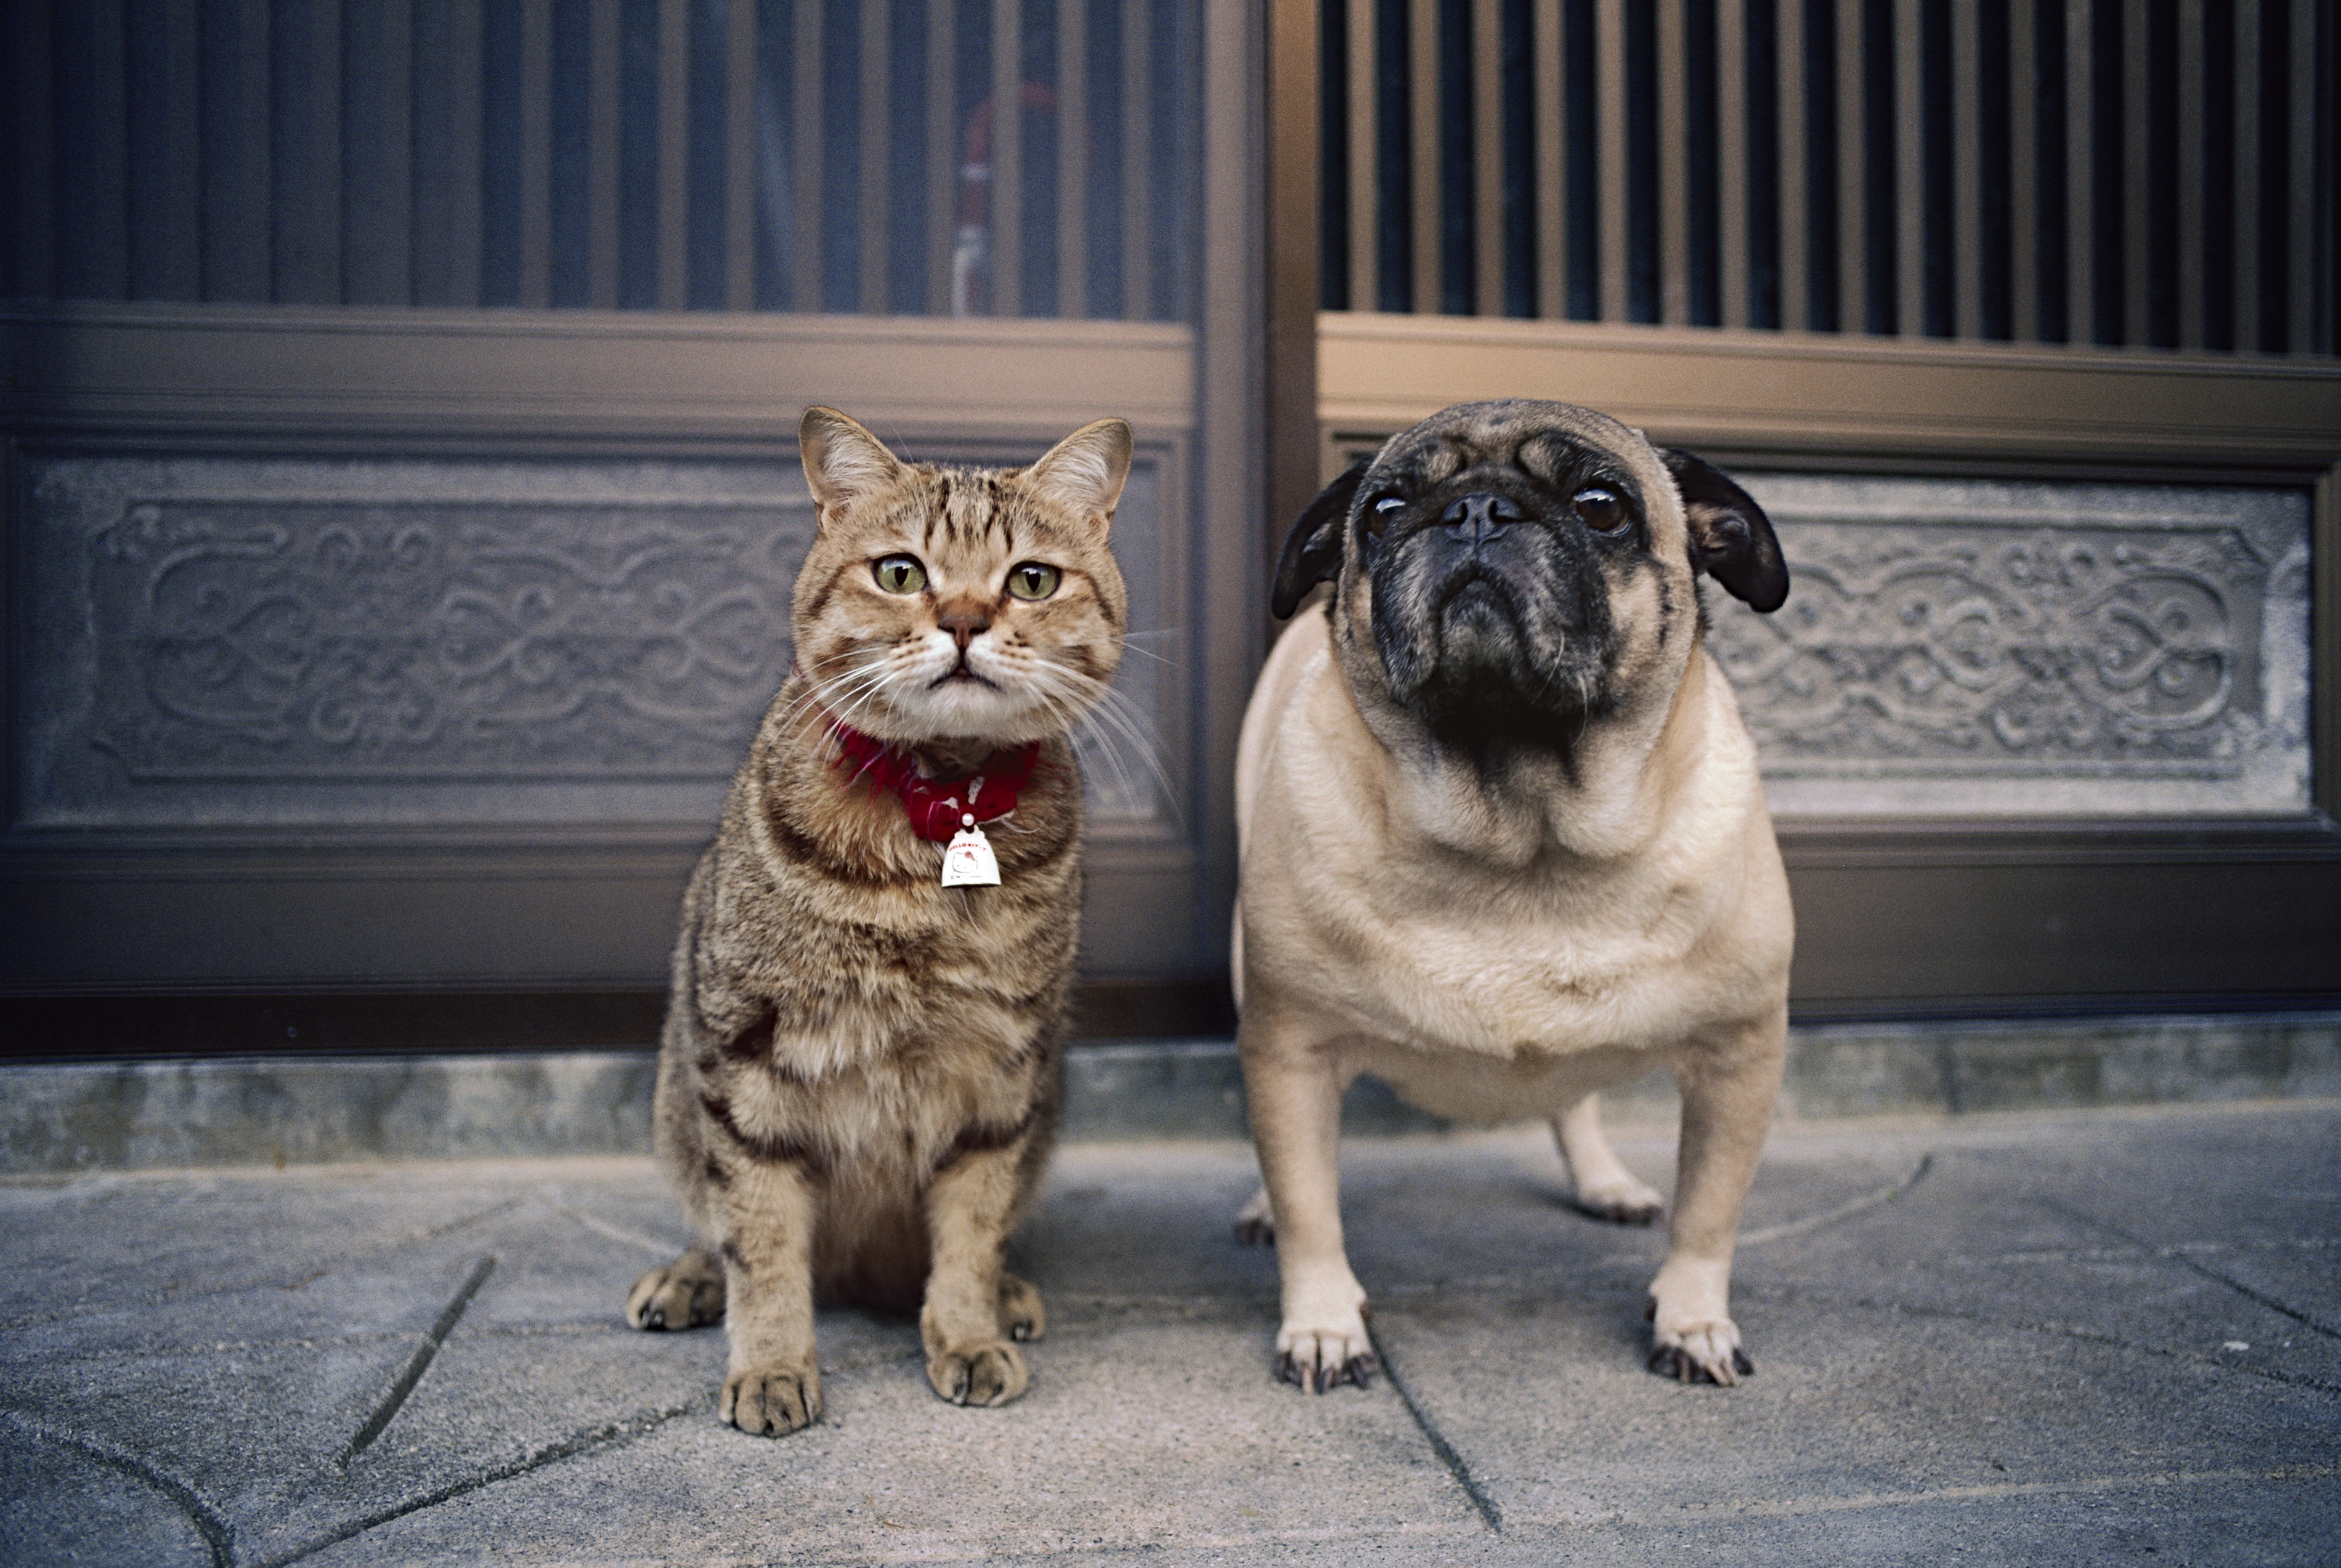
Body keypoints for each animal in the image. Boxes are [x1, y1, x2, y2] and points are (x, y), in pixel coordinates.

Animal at [627, 402, 1128, 1441]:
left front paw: (970, 1330)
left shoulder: (1001, 1076)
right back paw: (688, 1278)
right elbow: (762, 1241)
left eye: (1032, 579)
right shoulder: (746, 1061)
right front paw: (773, 1362)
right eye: (901, 571)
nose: (967, 620)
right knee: (719, 1226)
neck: (940, 805)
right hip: (676, 1093)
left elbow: (971, 1230)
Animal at [1245, 400, 1788, 1394]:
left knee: (1573, 1101)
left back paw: (1603, 1180)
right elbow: (1311, 1210)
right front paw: (1323, 1323)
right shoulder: (1290, 1048)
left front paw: (1693, 1320)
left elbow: (1709, 1211)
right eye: (1383, 511)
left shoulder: (1740, 1056)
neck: (1523, 835)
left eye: (1602, 504)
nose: (1476, 511)